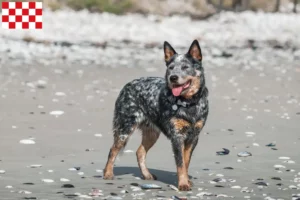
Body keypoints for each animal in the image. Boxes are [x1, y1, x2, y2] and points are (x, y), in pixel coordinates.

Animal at [103, 39, 209, 191]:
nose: (173, 77)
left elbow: (186, 161)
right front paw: (183, 183)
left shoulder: (193, 137)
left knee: (140, 152)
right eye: (171, 67)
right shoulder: (177, 136)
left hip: (152, 133)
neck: (188, 103)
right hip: (125, 127)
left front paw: (187, 181)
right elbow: (180, 163)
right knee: (113, 150)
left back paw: (146, 174)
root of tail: (127, 85)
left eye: (185, 67)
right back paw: (108, 173)